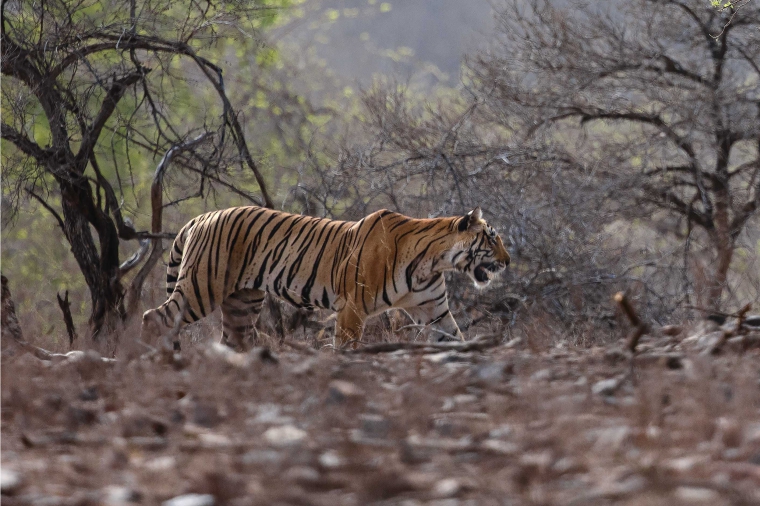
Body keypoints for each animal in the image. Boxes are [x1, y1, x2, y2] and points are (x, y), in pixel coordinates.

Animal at [142, 205, 510, 348]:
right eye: (492, 238)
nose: (508, 262)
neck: (433, 263)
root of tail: (202, 215)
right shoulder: (352, 308)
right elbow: (345, 348)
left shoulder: (435, 310)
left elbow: (455, 337)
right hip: (201, 288)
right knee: (153, 317)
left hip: (242, 303)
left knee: (233, 340)